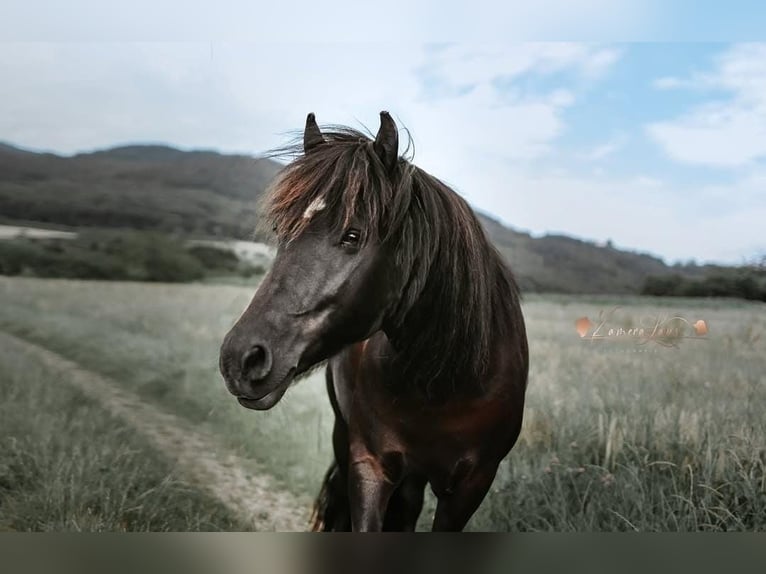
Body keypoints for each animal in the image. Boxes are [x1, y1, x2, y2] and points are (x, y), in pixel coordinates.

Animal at [219, 111, 529, 531]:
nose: (241, 359)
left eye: (353, 235)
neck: (446, 382)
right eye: (283, 233)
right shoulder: (370, 465)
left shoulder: (472, 486)